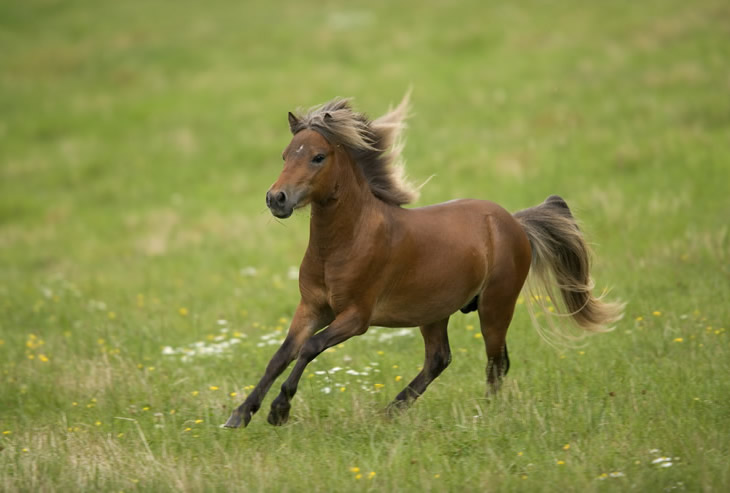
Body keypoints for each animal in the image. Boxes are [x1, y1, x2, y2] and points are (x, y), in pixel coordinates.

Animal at [222, 92, 620, 426]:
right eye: (285, 155)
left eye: (318, 157)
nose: (277, 199)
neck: (342, 244)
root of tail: (514, 222)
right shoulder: (312, 308)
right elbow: (282, 354)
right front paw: (240, 414)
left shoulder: (356, 317)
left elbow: (309, 348)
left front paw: (278, 410)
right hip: (434, 312)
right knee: (440, 359)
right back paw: (392, 410)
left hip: (496, 306)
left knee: (496, 363)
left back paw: (484, 415)